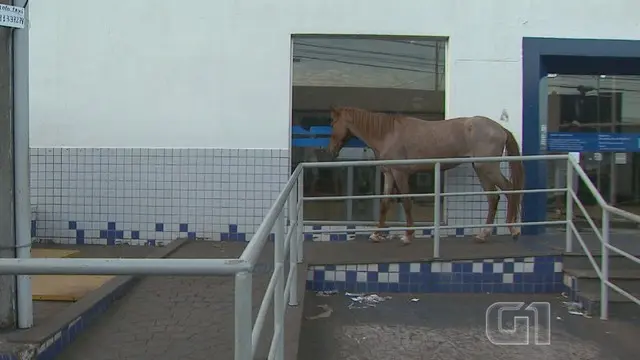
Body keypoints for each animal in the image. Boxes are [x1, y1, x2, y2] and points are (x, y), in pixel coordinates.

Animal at [328, 105, 524, 243]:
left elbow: (407, 202)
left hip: (488, 168)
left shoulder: (400, 174)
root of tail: (500, 129)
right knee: (494, 198)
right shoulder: (389, 174)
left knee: (509, 190)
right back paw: (485, 234)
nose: (331, 151)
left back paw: (512, 230)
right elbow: (384, 204)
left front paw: (408, 236)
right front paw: (376, 235)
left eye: (332, 123)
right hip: (481, 169)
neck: (388, 134)